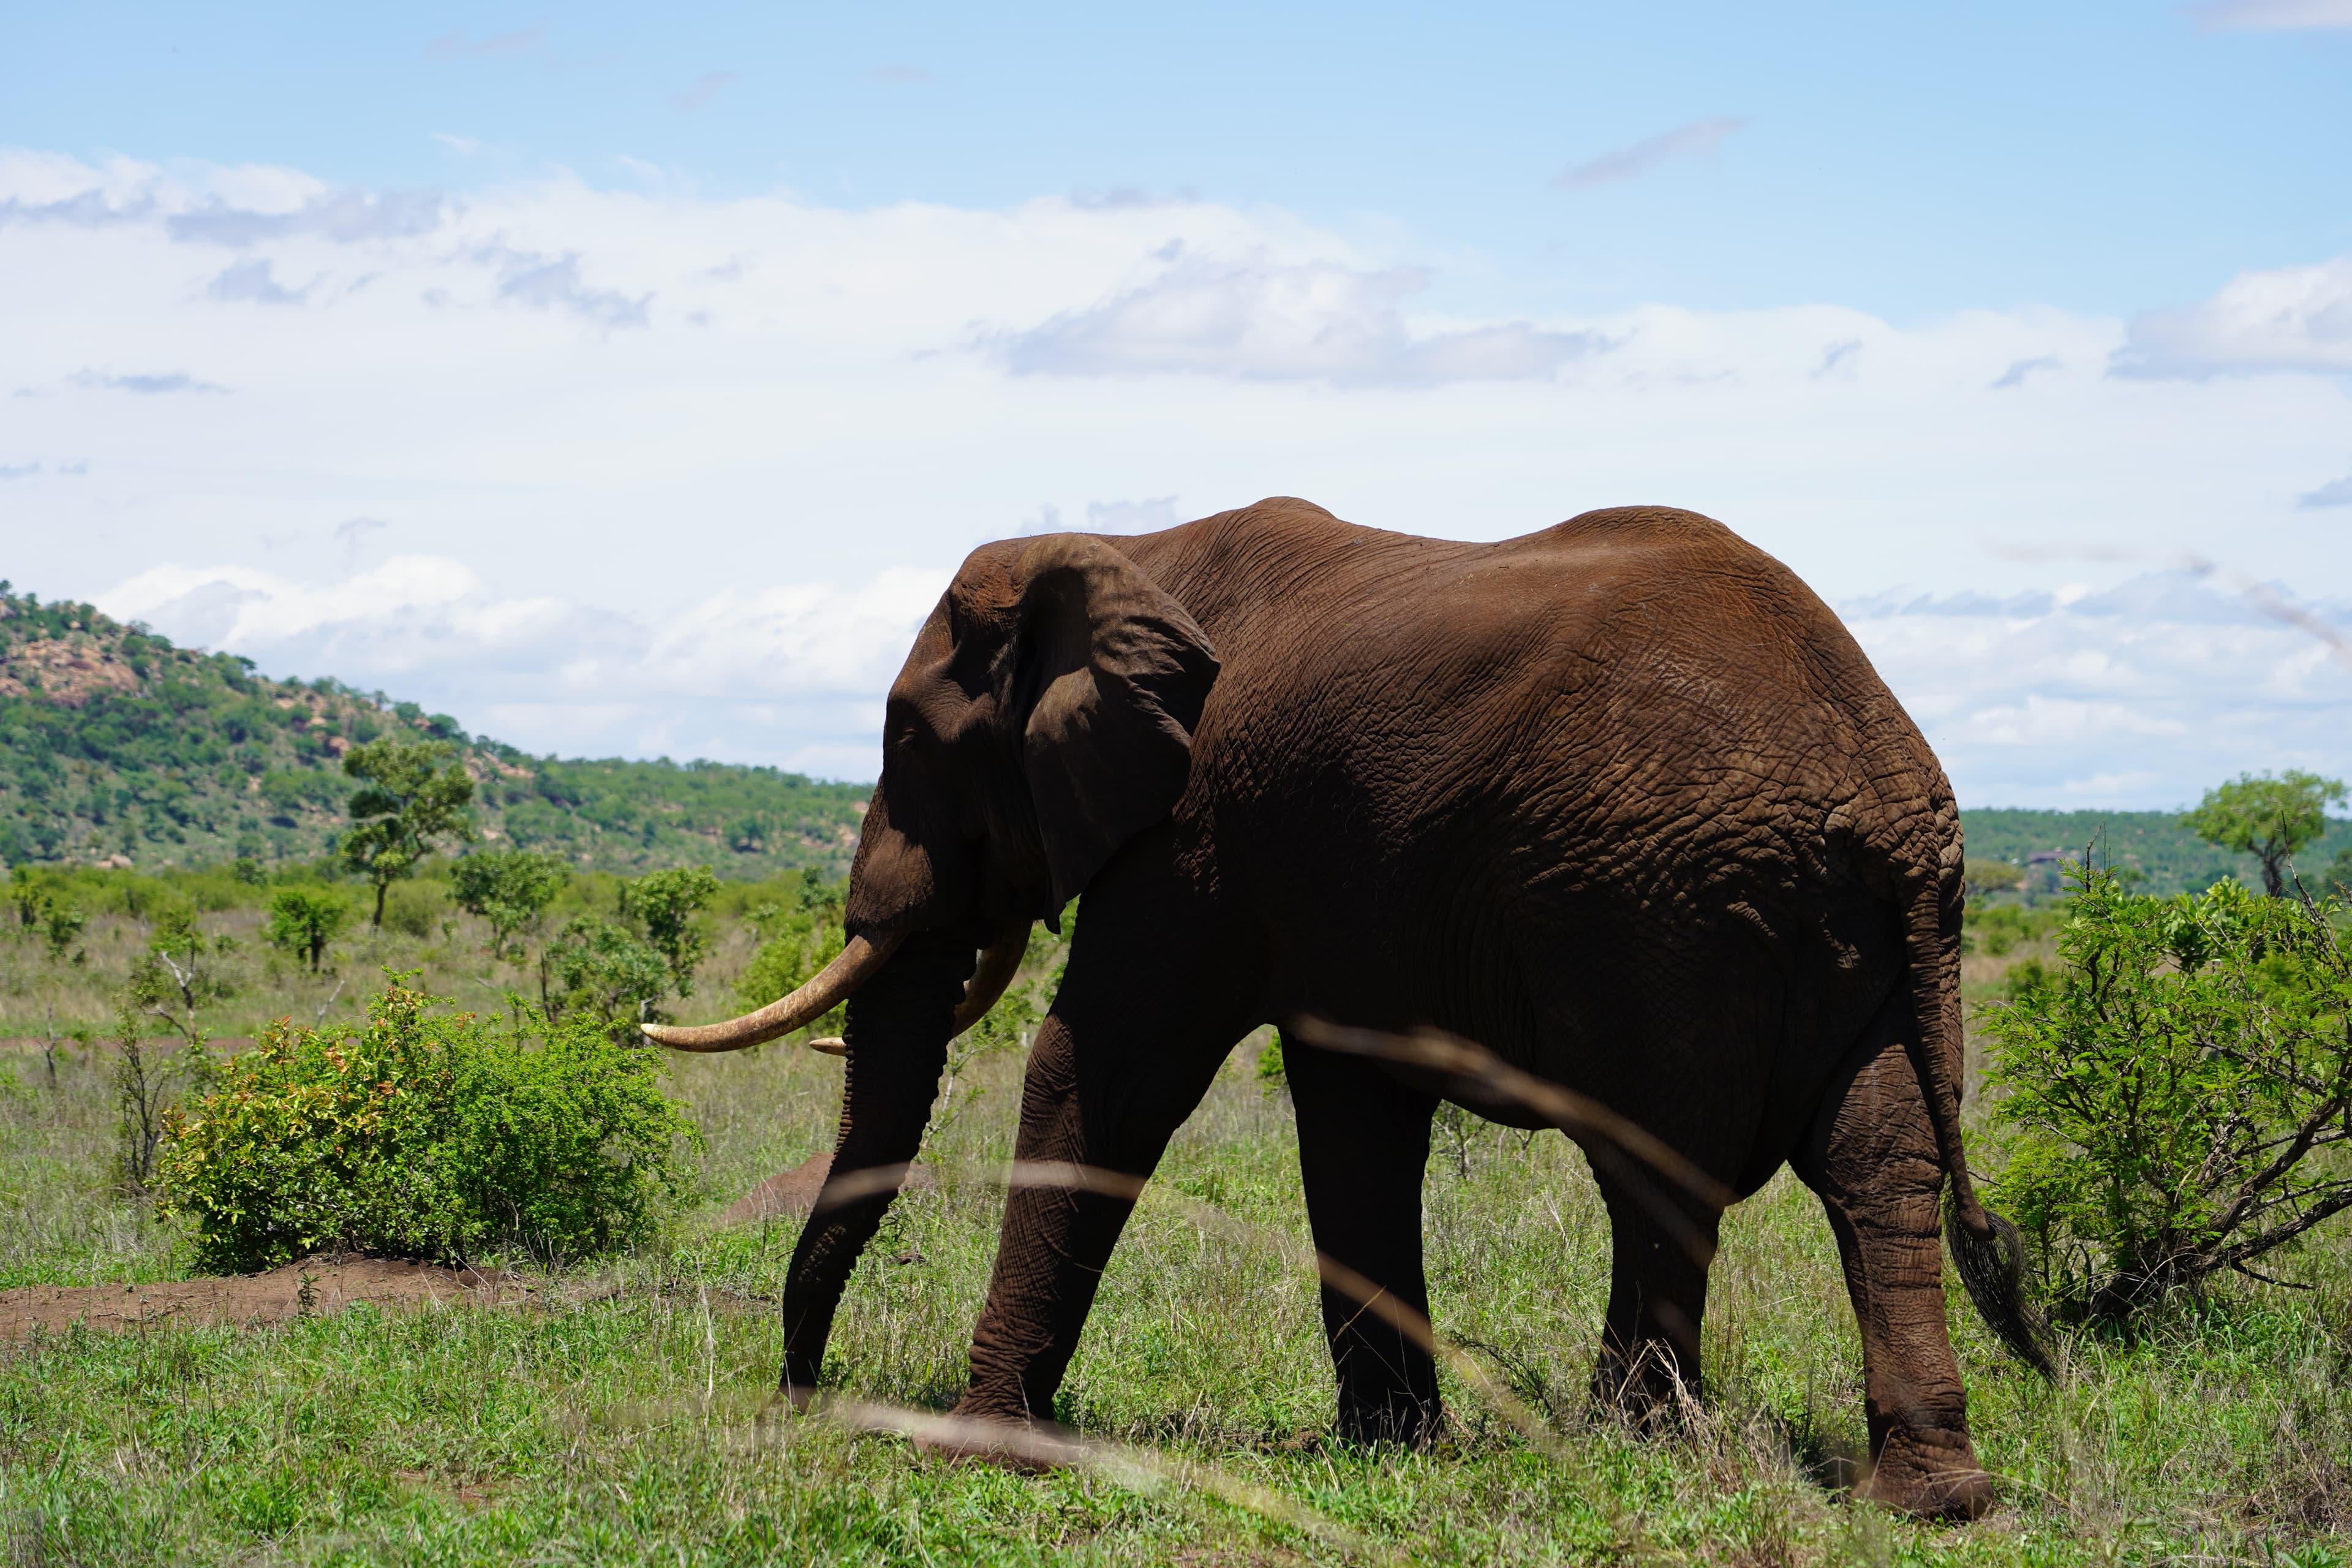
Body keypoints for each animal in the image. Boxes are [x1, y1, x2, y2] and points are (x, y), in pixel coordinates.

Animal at [649, 496, 2048, 1519]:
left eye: (907, 741)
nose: (801, 1392)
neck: (1128, 545)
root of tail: (1890, 786)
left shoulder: (1196, 830)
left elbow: (1105, 1069)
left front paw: (981, 1442)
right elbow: (1353, 1118)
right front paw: (1396, 1449)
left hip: (1667, 911)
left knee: (1658, 1168)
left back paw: (1627, 1449)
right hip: (1868, 932)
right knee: (1879, 1165)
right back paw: (1933, 1497)